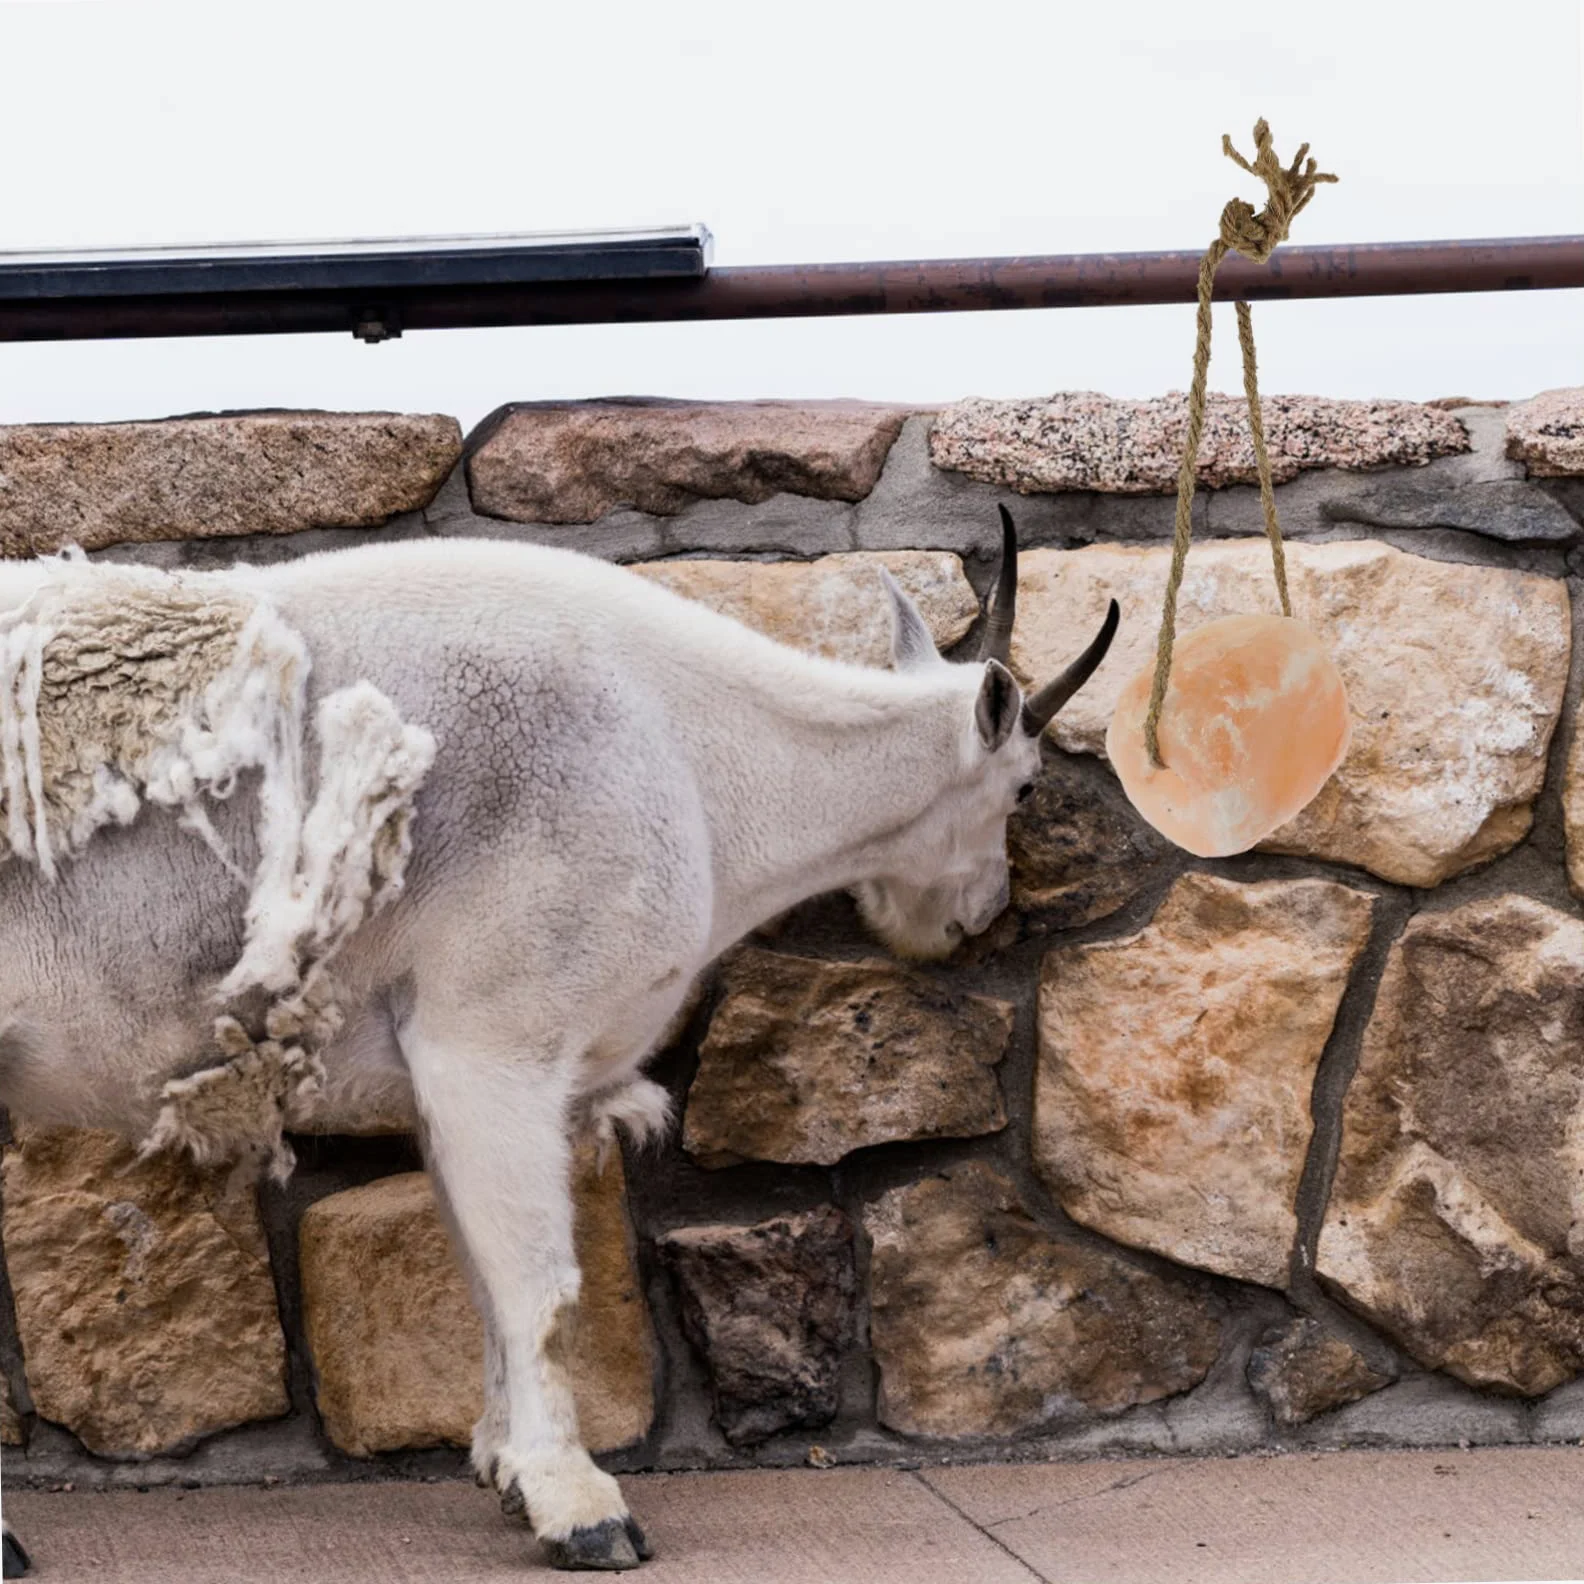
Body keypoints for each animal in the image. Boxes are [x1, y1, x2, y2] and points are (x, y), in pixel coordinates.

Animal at [0, 510, 1116, 1574]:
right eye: (1022, 788)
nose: (978, 919)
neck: (701, 759)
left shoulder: (444, 1072)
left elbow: (483, 1276)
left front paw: (503, 1466)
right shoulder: (496, 1039)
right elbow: (540, 1286)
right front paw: (580, 1508)